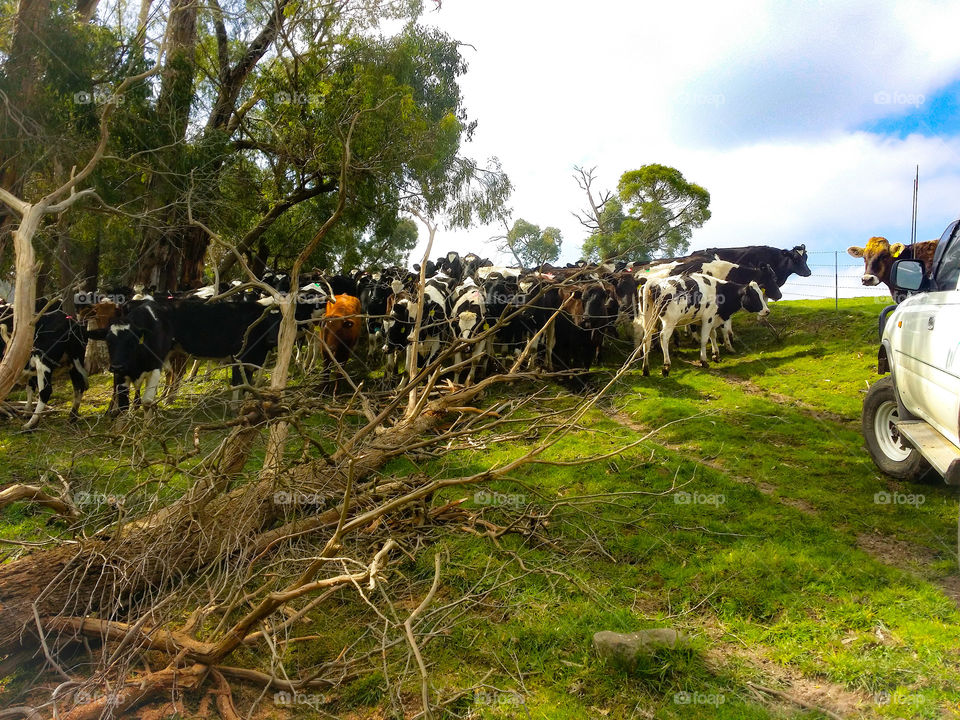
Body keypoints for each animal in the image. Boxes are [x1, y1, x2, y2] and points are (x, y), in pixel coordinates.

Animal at [637, 275, 769, 377]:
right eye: (754, 296)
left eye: (761, 294)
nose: (767, 311)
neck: (720, 291)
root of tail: (654, 282)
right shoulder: (708, 318)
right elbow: (705, 339)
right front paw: (704, 360)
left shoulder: (711, 319)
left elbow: (713, 335)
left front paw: (716, 355)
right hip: (670, 321)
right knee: (663, 337)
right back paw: (666, 366)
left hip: (649, 319)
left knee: (646, 339)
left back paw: (646, 369)